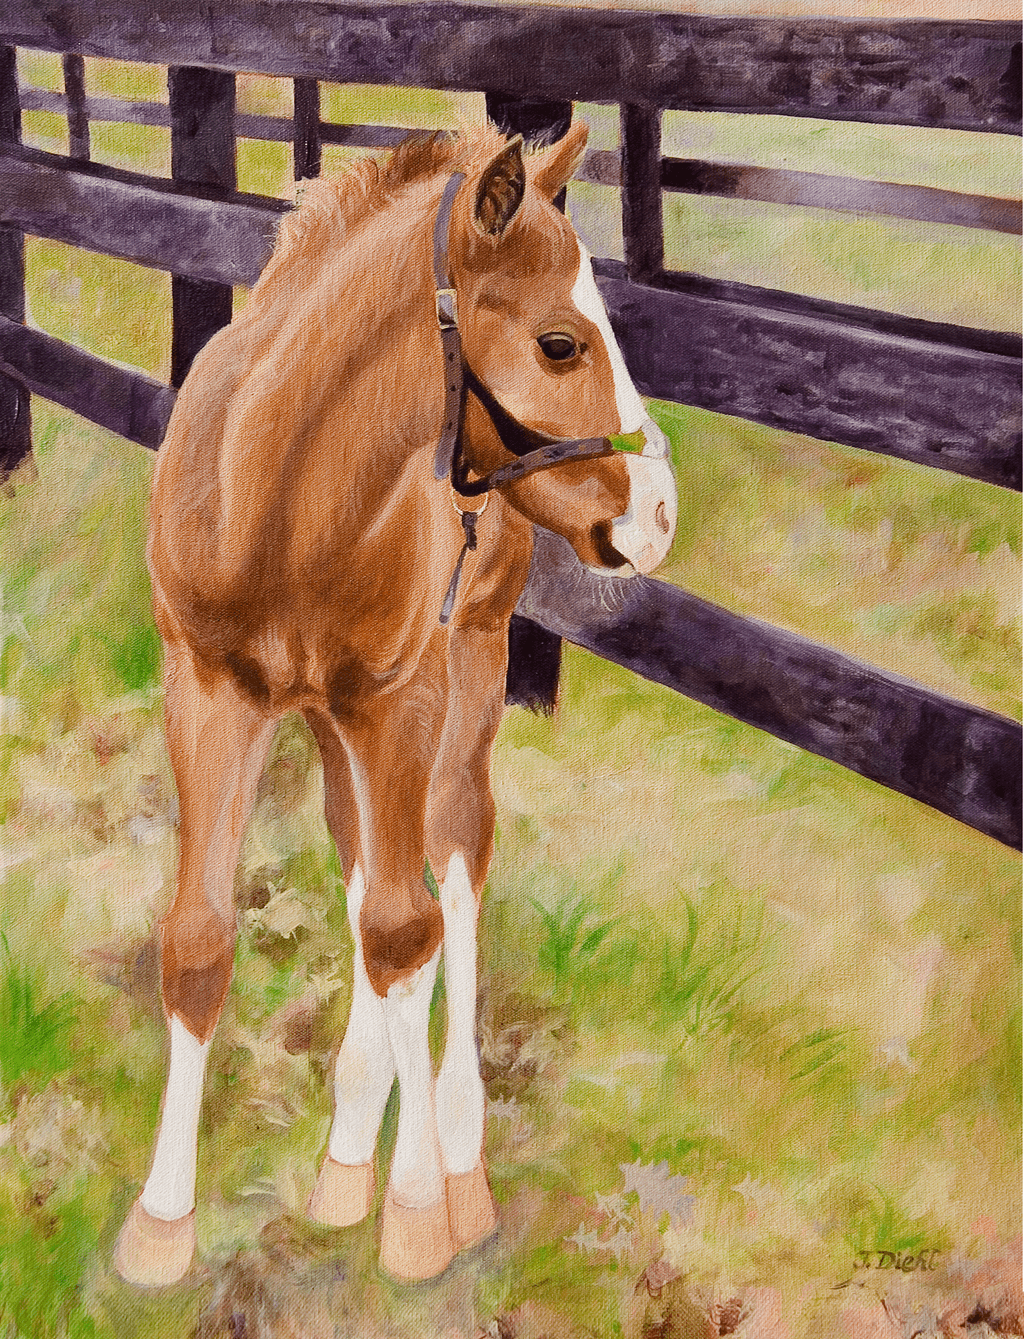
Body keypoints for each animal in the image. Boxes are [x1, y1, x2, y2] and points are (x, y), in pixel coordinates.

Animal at [112, 121, 678, 1288]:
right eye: (561, 344)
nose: (657, 513)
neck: (278, 495)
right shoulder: (208, 692)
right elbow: (202, 939)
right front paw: (161, 1221)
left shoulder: (401, 701)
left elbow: (405, 928)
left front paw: (419, 1210)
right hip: (333, 716)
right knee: (361, 856)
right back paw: (345, 1150)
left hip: (468, 666)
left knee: (450, 862)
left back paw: (454, 1153)